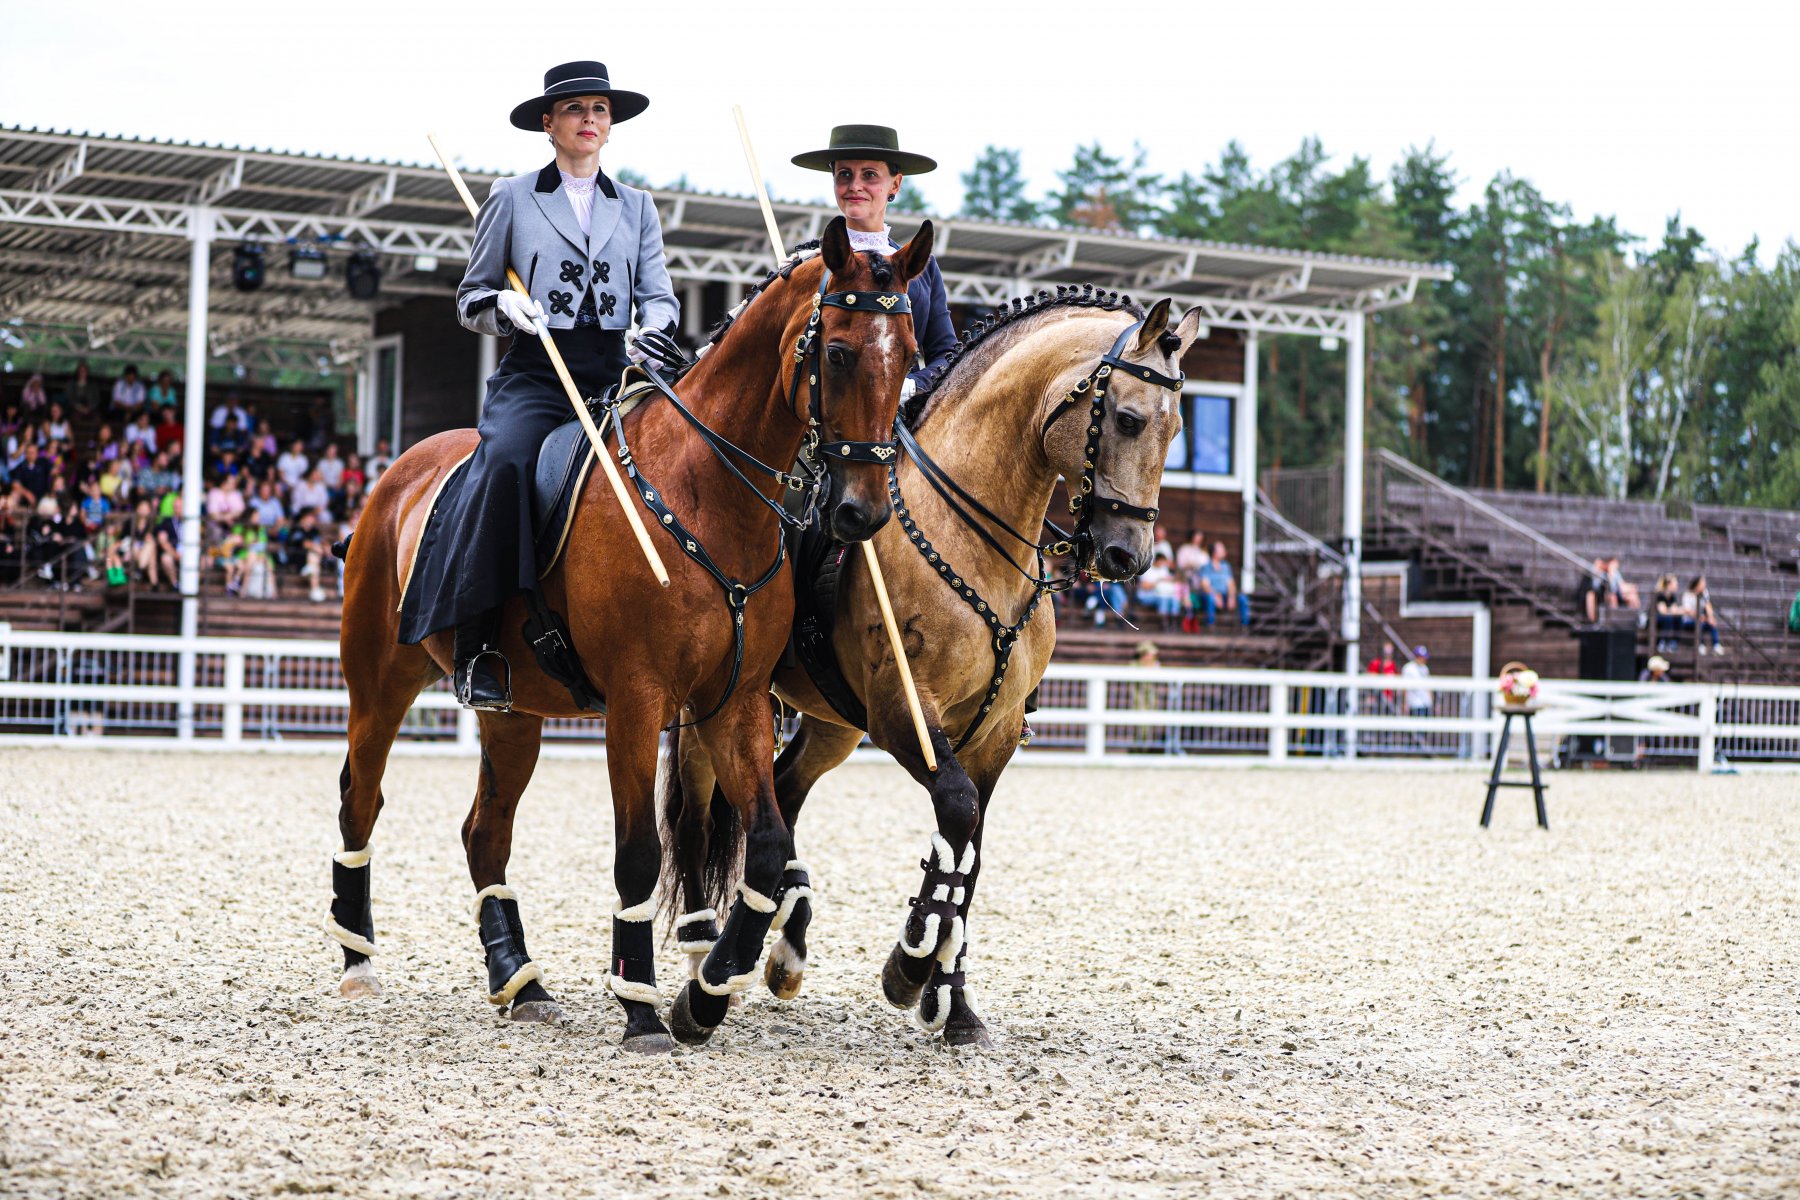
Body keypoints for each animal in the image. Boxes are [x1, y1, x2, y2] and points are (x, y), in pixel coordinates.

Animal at [325, 215, 936, 1050]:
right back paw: (359, 960)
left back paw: (520, 980)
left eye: (908, 354)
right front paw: (643, 1003)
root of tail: (400, 471)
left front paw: (706, 993)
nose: (862, 512)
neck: (706, 491)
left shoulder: (736, 702)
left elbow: (767, 850)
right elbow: (639, 852)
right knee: (361, 798)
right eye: (839, 352)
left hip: (512, 711)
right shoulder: (638, 701)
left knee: (485, 832)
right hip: (379, 683)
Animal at [658, 287, 1195, 1043]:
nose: (1128, 556)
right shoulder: (903, 713)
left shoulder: (997, 733)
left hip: (833, 723)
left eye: (1176, 430)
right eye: (1126, 418)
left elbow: (968, 855)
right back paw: (706, 956)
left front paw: (953, 1000)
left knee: (785, 791)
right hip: (723, 706)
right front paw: (911, 964)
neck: (972, 538)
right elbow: (958, 813)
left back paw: (787, 944)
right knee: (698, 818)